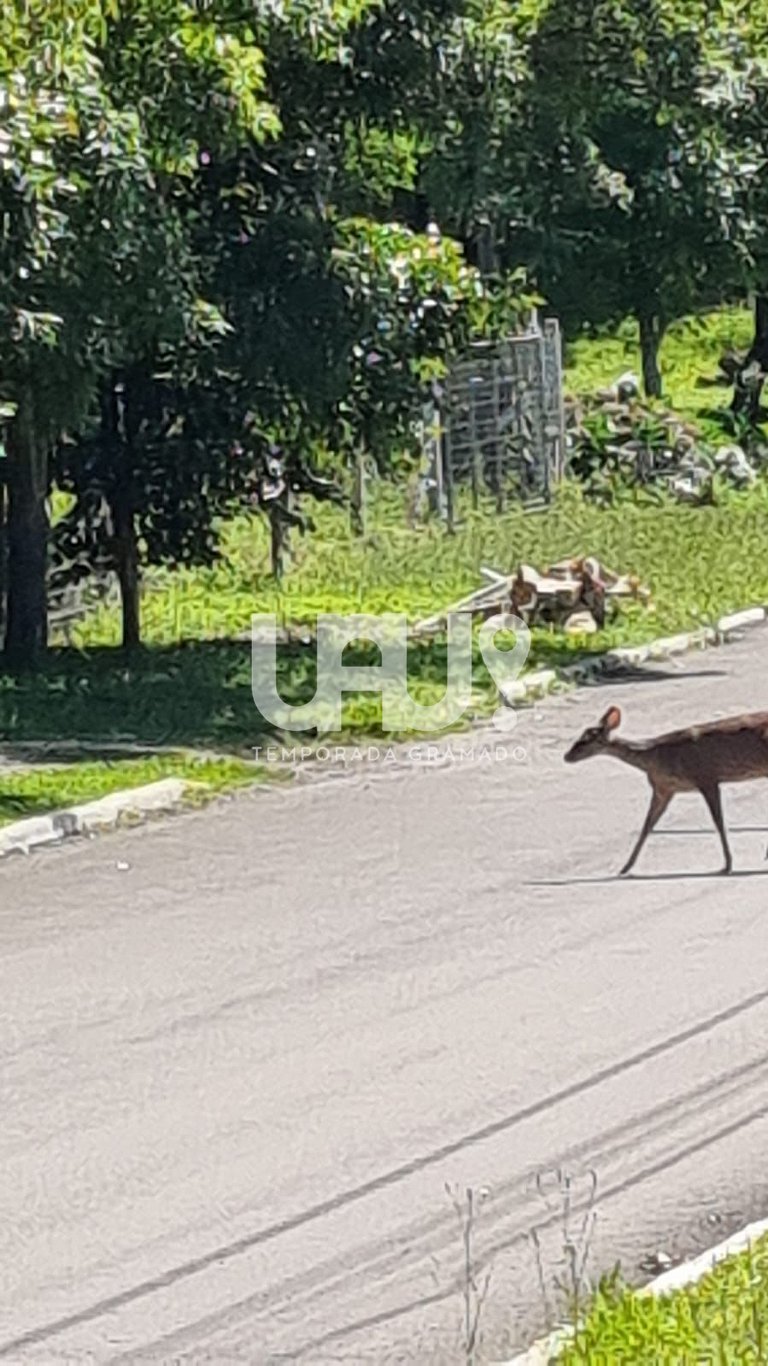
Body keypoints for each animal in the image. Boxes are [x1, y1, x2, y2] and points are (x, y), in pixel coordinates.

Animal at [563, 704, 768, 874]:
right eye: (579, 737)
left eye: (586, 740)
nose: (566, 756)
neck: (655, 758)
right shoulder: (664, 789)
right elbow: (646, 826)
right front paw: (625, 867)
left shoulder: (706, 776)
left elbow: (719, 823)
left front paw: (728, 865)